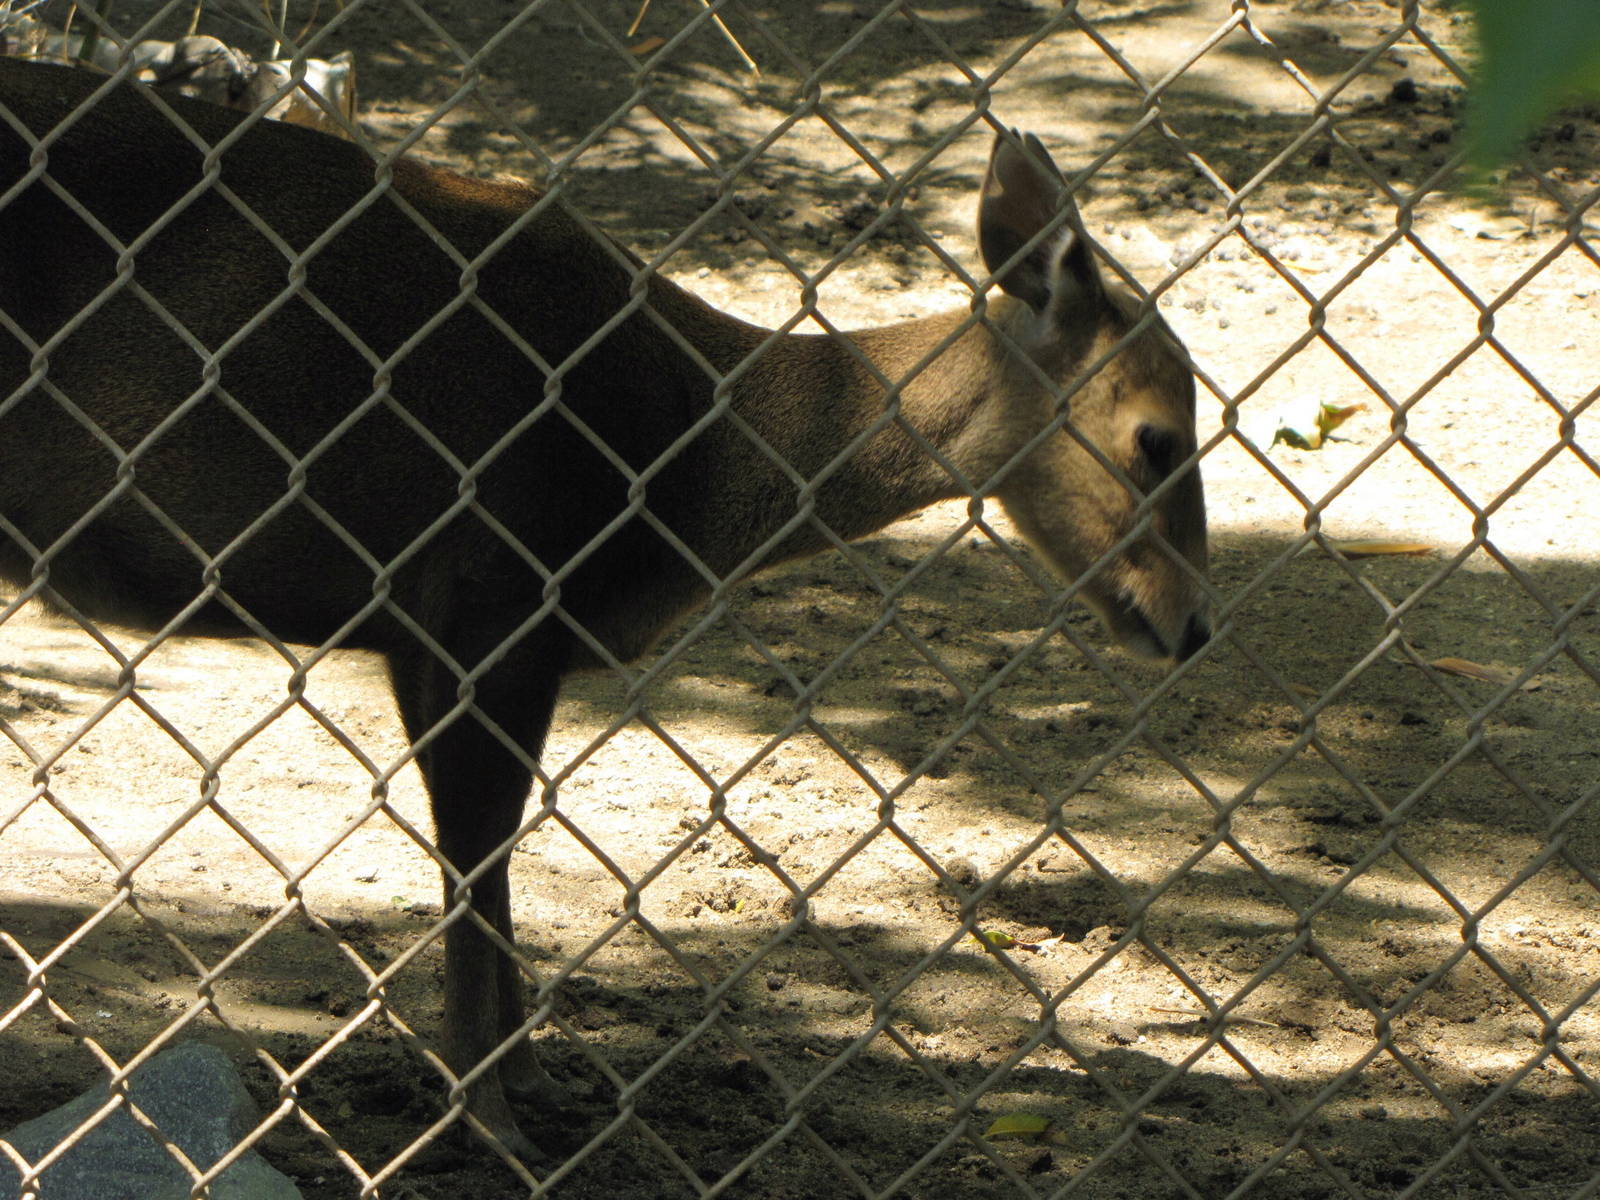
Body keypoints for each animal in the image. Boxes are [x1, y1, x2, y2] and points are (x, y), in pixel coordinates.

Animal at [0, 56, 1209, 1161]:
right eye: (1156, 437)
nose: (1192, 625)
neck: (681, 470)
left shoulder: (428, 632)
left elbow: (477, 859)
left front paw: (523, 1081)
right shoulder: (493, 596)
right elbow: (477, 850)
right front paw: (487, 1120)